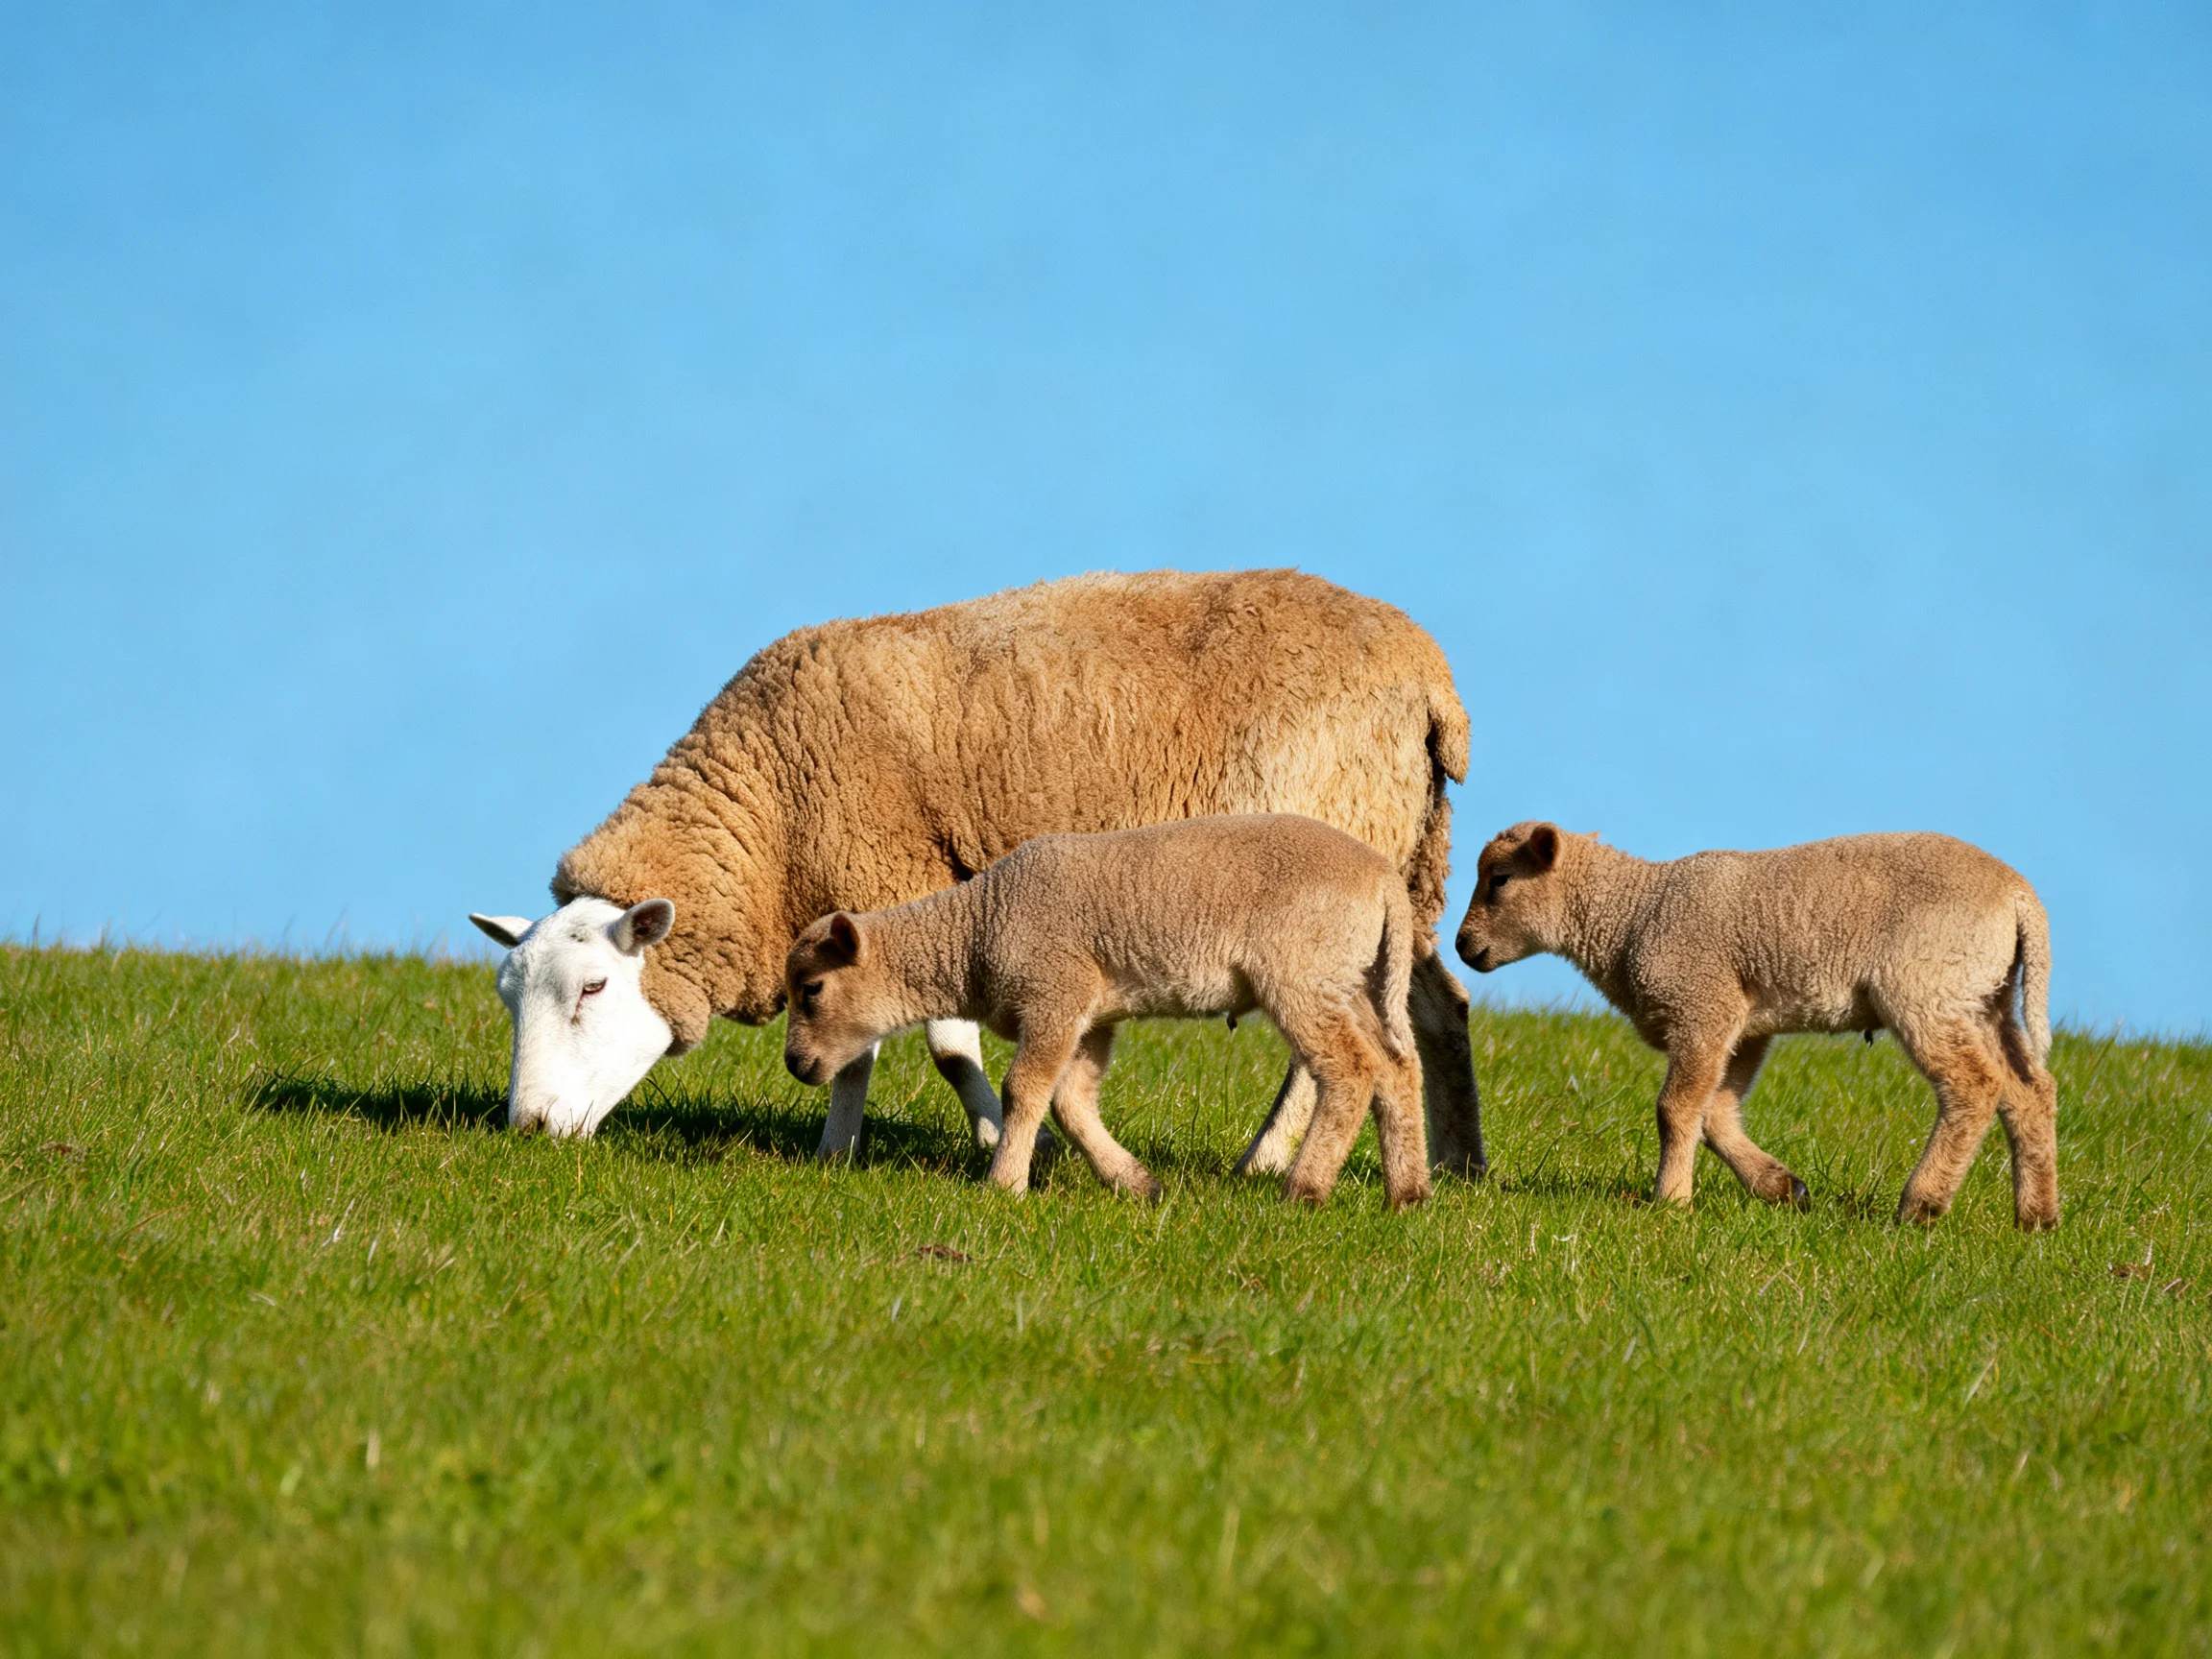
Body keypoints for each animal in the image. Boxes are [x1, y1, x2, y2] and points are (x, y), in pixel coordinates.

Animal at [469, 569, 1485, 1169]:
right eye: (508, 996)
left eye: (594, 988)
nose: (527, 1130)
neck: (770, 814)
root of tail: (1433, 680)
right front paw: (843, 1151)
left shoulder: (895, 881)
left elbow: (936, 1045)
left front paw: (987, 1141)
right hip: (1404, 871)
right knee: (1434, 1011)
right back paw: (1452, 1162)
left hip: (1319, 875)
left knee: (1329, 1047)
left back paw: (1269, 1162)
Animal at [782, 814, 1432, 1208]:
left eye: (811, 988)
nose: (794, 1064)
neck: (976, 931)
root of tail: (1384, 880)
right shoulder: (1093, 1016)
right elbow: (1071, 1101)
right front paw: (1135, 1182)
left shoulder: (1056, 991)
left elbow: (1025, 1088)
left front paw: (1004, 1184)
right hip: (1352, 978)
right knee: (1397, 1066)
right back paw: (1407, 1192)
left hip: (1301, 972)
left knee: (1350, 1070)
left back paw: (1305, 1187)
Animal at [1453, 822, 2059, 1229]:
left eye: (1500, 880)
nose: (1461, 946)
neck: (1633, 916)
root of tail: (2019, 898)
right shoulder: (1743, 1026)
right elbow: (1716, 1114)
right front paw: (1781, 1187)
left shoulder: (1703, 1005)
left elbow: (1676, 1110)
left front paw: (1670, 1200)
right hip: (1984, 996)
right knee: (2029, 1090)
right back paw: (2037, 1216)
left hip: (1925, 985)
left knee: (1974, 1085)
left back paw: (1922, 1204)